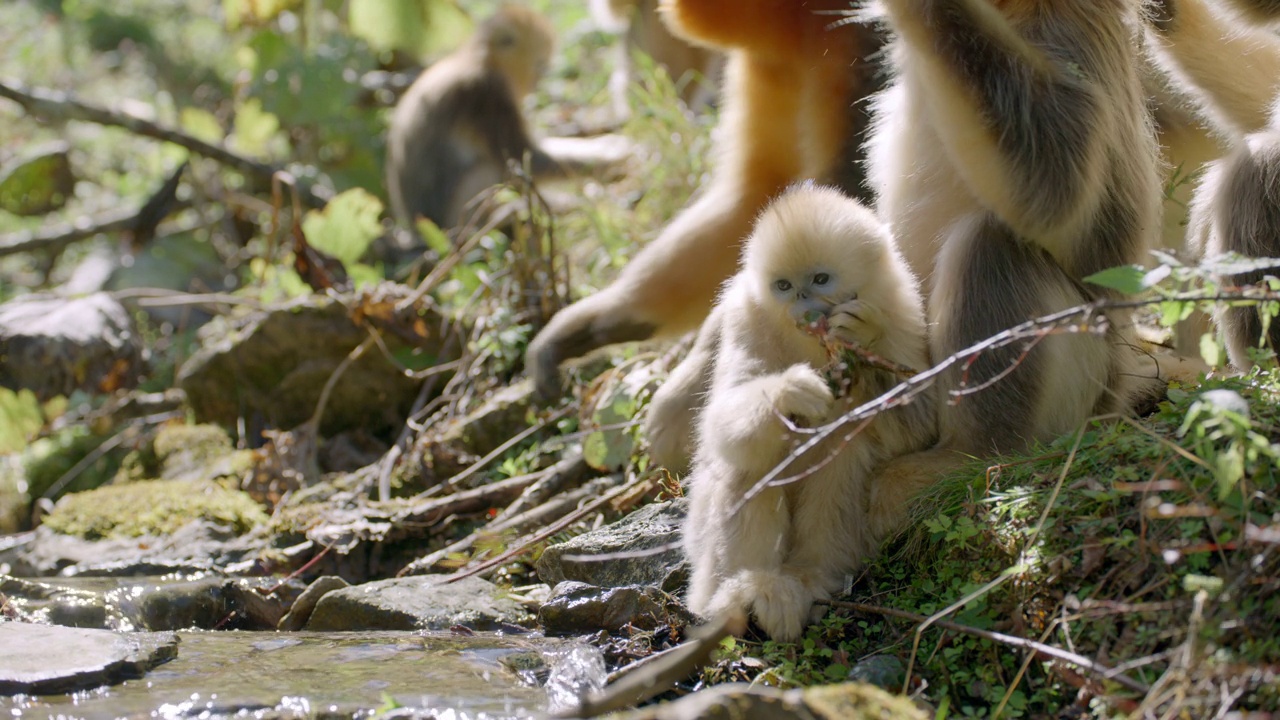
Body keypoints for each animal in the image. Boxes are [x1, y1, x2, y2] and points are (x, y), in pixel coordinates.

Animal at [686, 184, 936, 638]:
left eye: (820, 280)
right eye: (784, 285)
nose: (802, 300)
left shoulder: (902, 307)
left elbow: (918, 428)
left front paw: (862, 332)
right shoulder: (744, 316)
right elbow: (720, 427)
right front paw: (791, 392)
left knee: (846, 452)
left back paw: (810, 578)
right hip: (702, 561)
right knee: (750, 462)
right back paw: (747, 592)